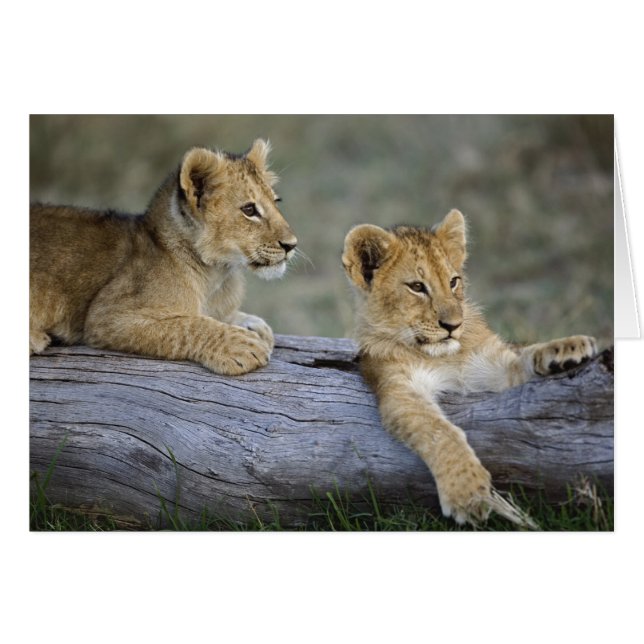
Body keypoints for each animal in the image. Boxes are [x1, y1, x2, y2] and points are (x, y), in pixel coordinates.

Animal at [30, 139, 297, 375]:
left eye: (276, 202)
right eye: (249, 210)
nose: (291, 245)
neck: (217, 275)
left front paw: (253, 325)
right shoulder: (106, 317)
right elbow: (186, 325)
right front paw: (241, 345)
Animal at [342, 209, 597, 527]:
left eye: (453, 282)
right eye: (417, 287)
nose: (453, 325)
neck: (442, 356)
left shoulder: (489, 367)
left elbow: (523, 356)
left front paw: (568, 348)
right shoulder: (399, 388)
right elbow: (439, 431)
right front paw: (468, 493)